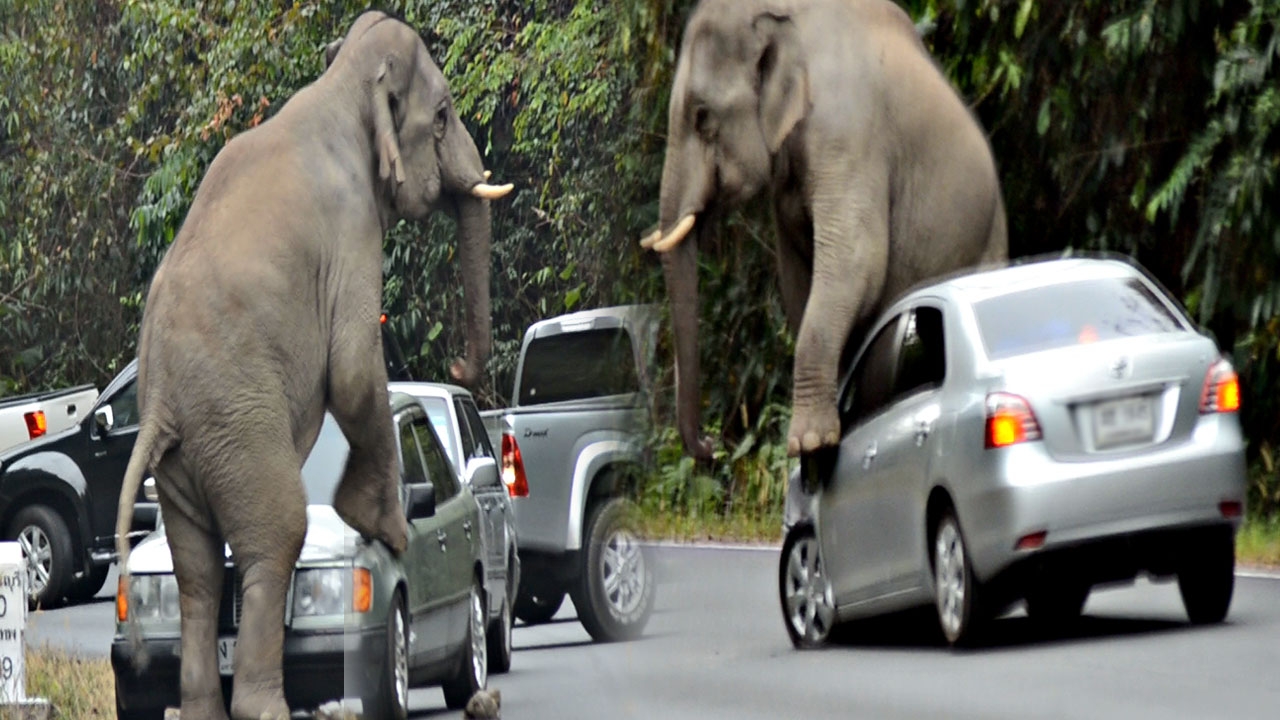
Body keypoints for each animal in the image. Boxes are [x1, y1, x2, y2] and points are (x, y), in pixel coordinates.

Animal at [113, 11, 514, 717]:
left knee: (195, 571)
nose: (462, 372)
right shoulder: (351, 229)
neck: (341, 84)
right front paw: (385, 529)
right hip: (238, 427)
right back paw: (265, 708)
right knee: (275, 537)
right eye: (441, 116)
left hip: (184, 459)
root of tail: (156, 404)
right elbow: (354, 369)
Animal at [645, 0, 1003, 456]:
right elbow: (800, 277)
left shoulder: (848, 132)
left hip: (989, 234)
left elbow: (857, 262)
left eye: (702, 117)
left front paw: (808, 442)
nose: (710, 443)